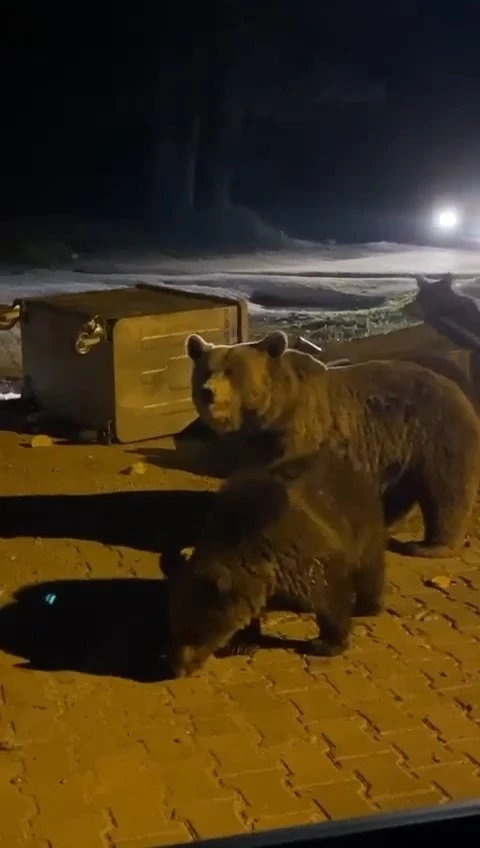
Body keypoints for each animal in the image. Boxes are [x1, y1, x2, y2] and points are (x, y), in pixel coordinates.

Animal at [167, 448, 384, 680]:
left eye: (193, 633)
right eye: (174, 626)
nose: (177, 668)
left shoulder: (307, 553)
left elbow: (331, 597)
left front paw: (326, 643)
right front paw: (243, 642)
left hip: (361, 521)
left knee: (370, 566)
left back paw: (368, 605)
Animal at [186, 330, 480, 556]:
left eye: (231, 372)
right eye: (206, 371)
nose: (209, 392)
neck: (271, 415)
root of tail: (458, 388)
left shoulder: (302, 434)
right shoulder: (256, 445)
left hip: (436, 434)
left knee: (447, 490)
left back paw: (430, 546)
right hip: (400, 452)